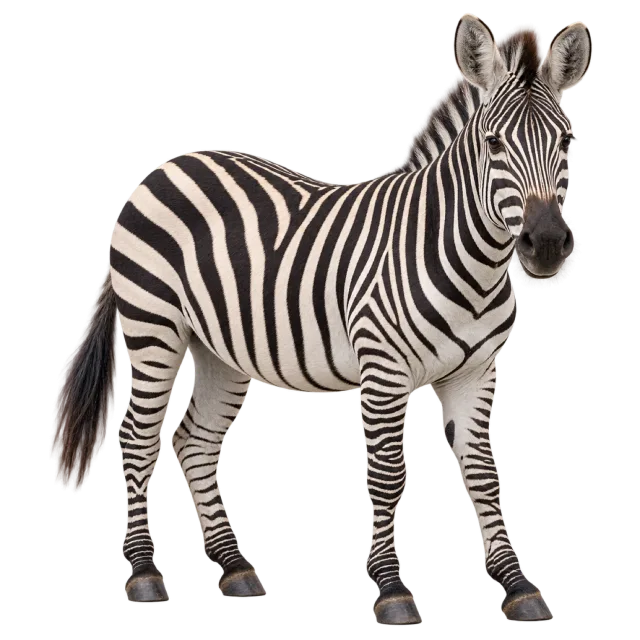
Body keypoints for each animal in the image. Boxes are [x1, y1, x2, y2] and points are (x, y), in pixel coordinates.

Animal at [50, 14, 591, 625]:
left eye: (565, 141)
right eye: (494, 144)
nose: (546, 243)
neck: (470, 265)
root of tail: (166, 167)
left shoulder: (477, 373)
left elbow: (483, 474)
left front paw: (517, 586)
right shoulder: (383, 369)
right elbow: (386, 474)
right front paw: (391, 591)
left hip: (222, 350)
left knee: (195, 440)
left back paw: (234, 569)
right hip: (154, 330)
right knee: (138, 439)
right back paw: (143, 574)